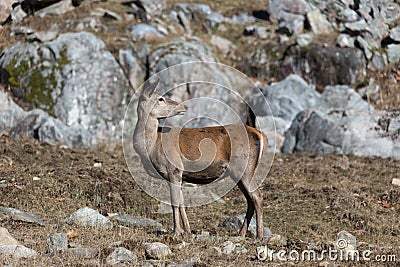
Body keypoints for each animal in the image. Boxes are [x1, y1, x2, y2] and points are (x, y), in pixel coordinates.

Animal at [133, 78, 268, 240]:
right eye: (160, 98)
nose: (184, 106)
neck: (152, 146)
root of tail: (260, 134)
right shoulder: (179, 175)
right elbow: (182, 202)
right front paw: (187, 231)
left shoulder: (174, 169)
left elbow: (174, 202)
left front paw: (176, 232)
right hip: (240, 172)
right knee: (250, 199)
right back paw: (241, 233)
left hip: (244, 167)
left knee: (257, 196)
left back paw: (259, 235)